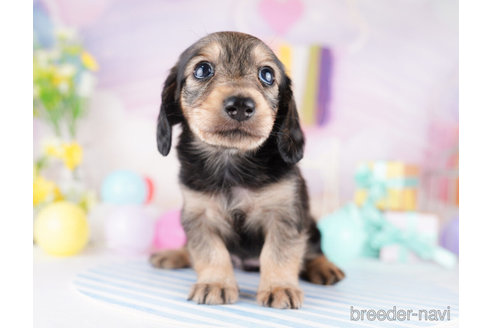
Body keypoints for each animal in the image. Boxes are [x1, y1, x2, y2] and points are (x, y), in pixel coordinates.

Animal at [152, 32, 344, 308]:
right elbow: (210, 252)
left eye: (267, 74)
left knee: (314, 249)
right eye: (202, 69)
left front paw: (279, 288)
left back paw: (324, 267)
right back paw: (175, 254)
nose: (241, 105)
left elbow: (279, 253)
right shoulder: (198, 216)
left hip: (311, 225)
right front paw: (215, 283)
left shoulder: (284, 214)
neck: (231, 160)